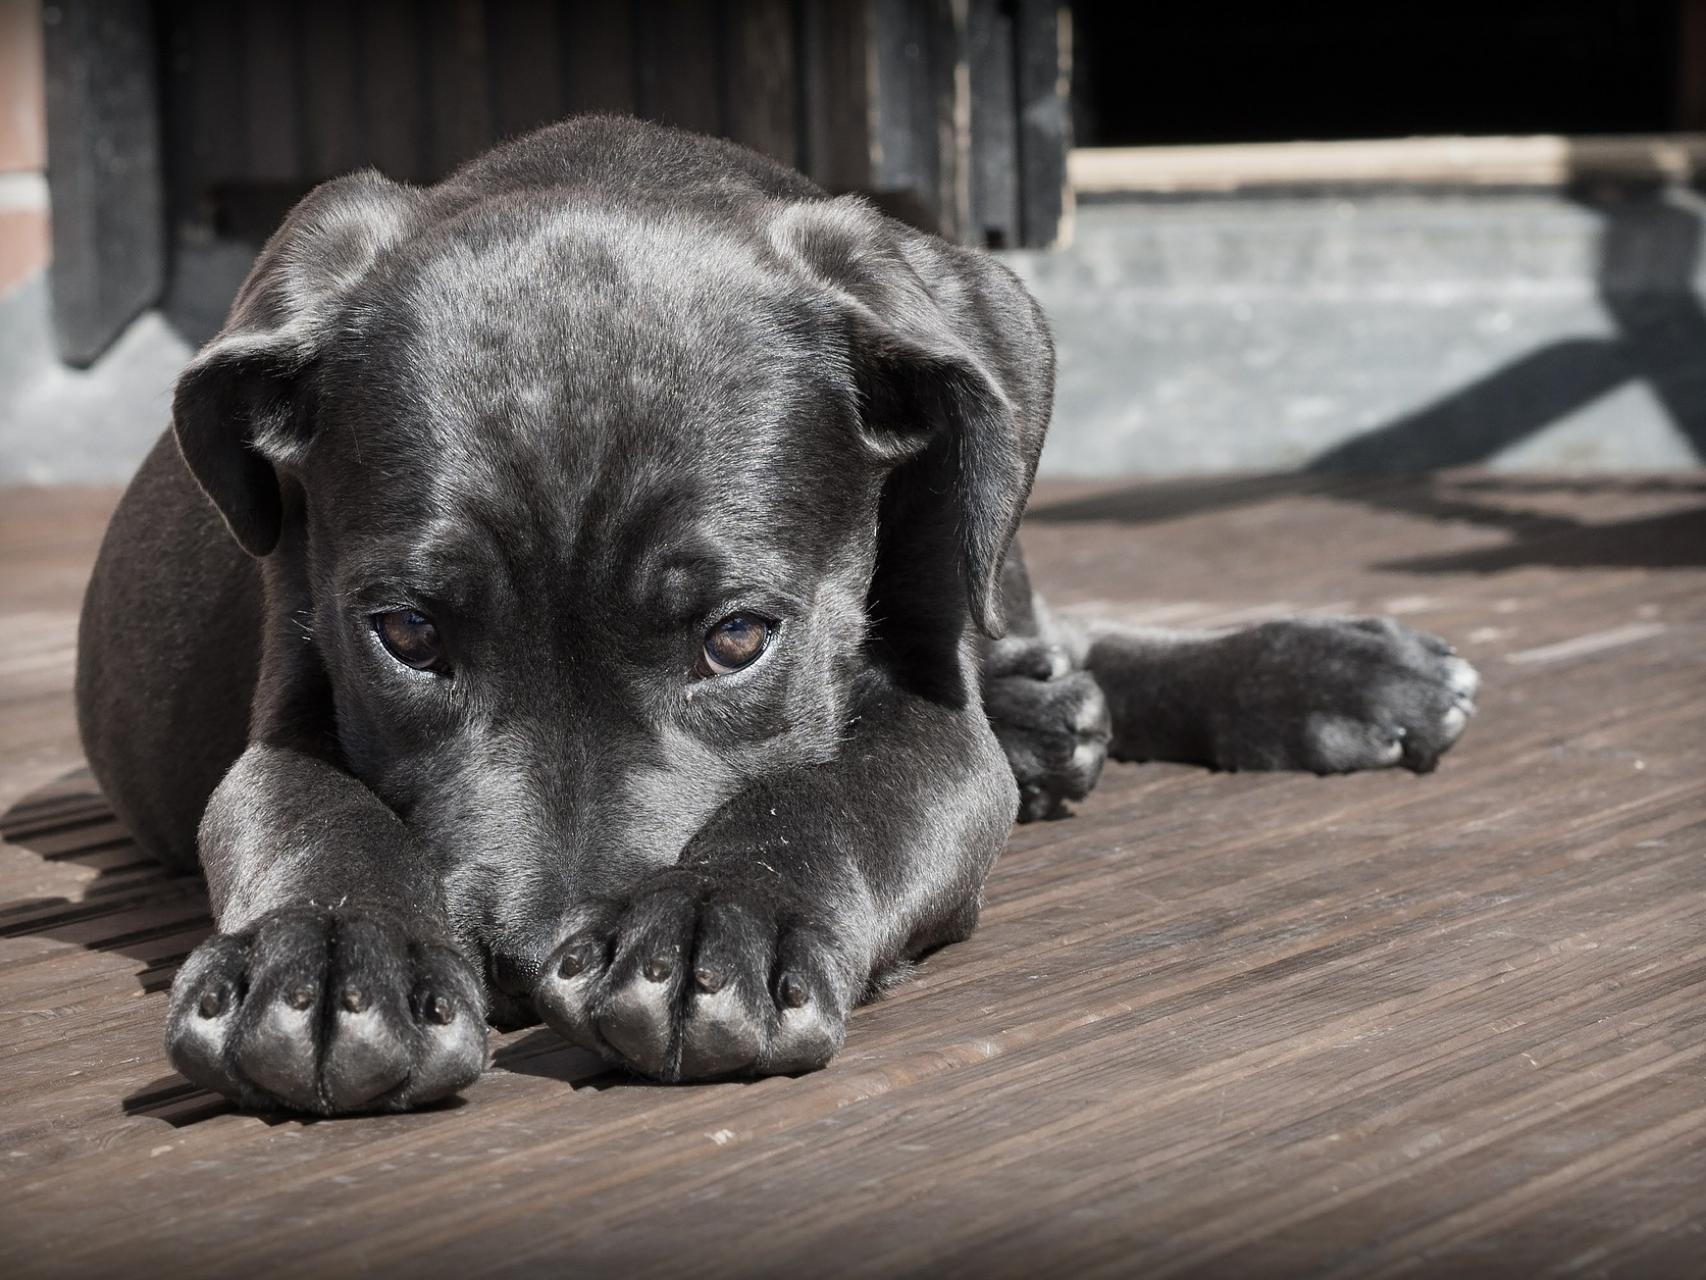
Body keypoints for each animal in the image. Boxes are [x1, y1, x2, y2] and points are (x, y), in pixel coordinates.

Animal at [73, 122, 1473, 1119]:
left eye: (737, 638)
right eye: (408, 635)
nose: (525, 963)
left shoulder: (928, 716)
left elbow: (837, 792)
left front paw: (713, 921)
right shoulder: (290, 688)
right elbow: (306, 807)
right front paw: (323, 957)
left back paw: (1321, 673)